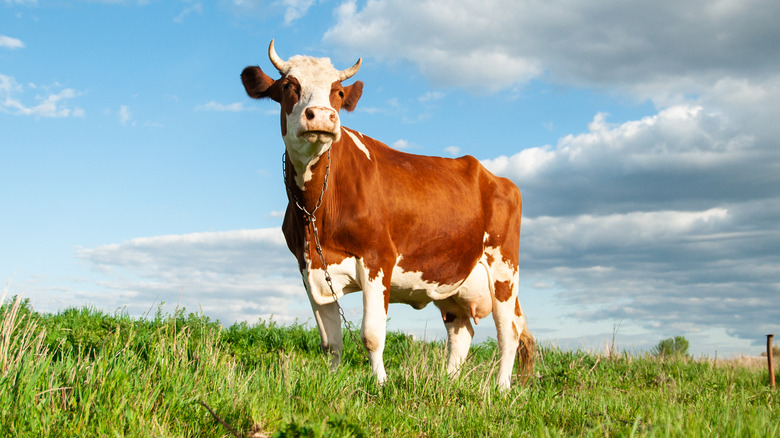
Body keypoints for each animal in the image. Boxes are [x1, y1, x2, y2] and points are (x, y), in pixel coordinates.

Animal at [241, 40, 532, 390]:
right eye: (288, 86)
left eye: (338, 92)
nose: (322, 116)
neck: (316, 209)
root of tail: (495, 177)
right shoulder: (308, 267)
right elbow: (331, 341)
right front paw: (332, 381)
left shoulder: (378, 258)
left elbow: (372, 335)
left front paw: (380, 384)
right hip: (452, 280)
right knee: (462, 332)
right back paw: (448, 383)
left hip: (504, 268)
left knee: (509, 331)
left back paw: (501, 388)